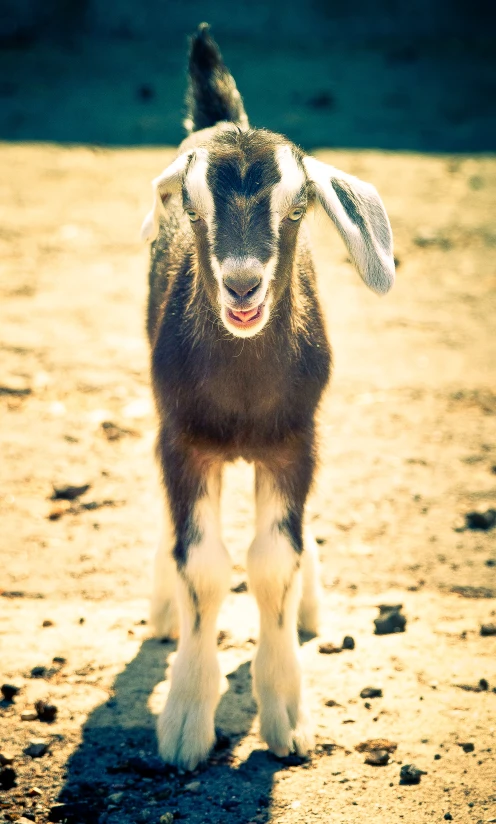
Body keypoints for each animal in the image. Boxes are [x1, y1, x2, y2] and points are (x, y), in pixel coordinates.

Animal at [141, 25, 394, 772]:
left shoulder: (293, 442)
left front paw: (286, 714)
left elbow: (272, 562)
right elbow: (201, 565)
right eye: (191, 203)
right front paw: (185, 721)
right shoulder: (184, 438)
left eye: (299, 204)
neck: (242, 395)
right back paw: (162, 609)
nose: (243, 285)